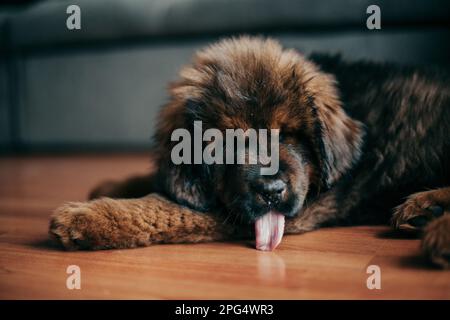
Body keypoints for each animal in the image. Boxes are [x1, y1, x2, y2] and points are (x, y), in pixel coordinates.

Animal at [49, 37, 450, 268]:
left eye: (289, 135)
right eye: (227, 142)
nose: (271, 191)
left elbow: (164, 208)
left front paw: (86, 218)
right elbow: (163, 182)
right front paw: (112, 185)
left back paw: (435, 227)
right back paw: (425, 211)